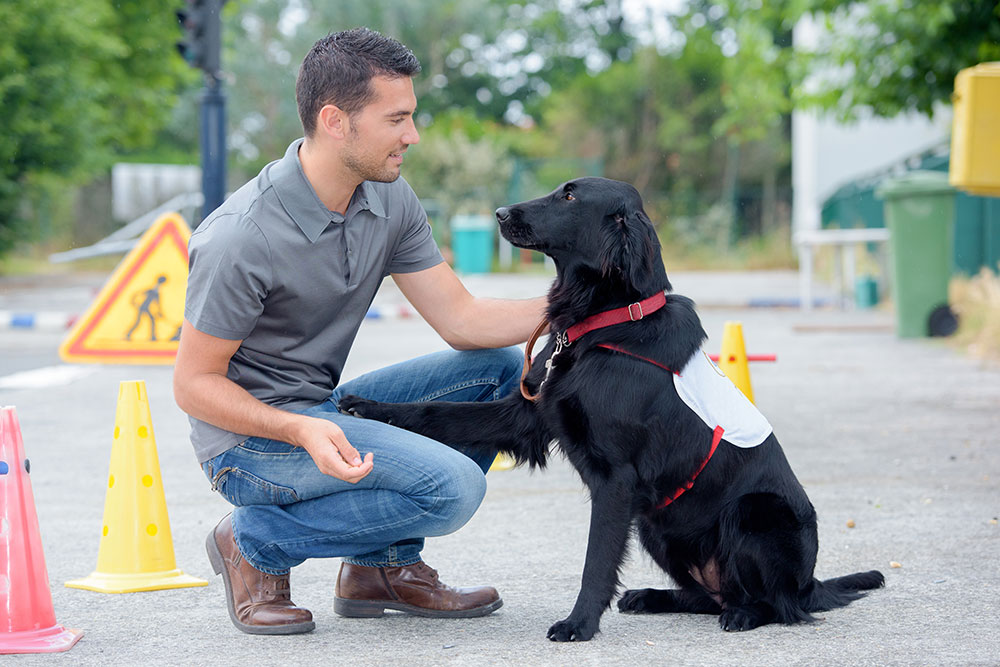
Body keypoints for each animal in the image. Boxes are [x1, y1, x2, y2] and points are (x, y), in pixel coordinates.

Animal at [342, 177, 884, 640]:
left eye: (569, 197)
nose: (499, 213)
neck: (606, 325)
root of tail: (810, 582)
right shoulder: (527, 416)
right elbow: (437, 413)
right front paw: (363, 407)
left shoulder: (616, 479)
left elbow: (596, 560)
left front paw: (578, 624)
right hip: (657, 525)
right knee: (708, 596)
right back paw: (650, 597)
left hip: (750, 512)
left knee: (777, 605)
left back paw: (744, 615)